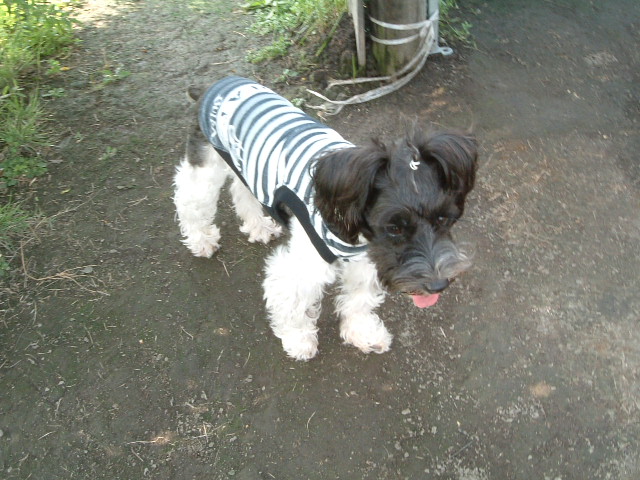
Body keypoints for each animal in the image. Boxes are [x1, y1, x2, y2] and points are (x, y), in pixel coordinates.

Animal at [174, 76, 478, 361]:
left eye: (443, 219)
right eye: (394, 228)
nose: (438, 285)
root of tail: (214, 85)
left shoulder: (364, 262)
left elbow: (359, 300)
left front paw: (362, 332)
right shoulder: (302, 268)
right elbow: (291, 301)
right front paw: (298, 339)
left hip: (244, 167)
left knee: (241, 189)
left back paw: (257, 226)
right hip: (206, 166)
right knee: (189, 198)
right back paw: (201, 240)